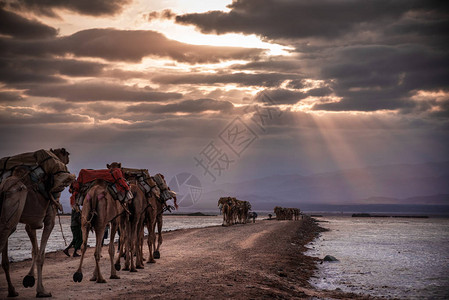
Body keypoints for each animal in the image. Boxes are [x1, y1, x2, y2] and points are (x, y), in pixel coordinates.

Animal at [0, 149, 74, 296]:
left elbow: (34, 250)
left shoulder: (31, 224)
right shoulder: (49, 220)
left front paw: (29, 278)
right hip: (12, 211)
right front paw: (41, 290)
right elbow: (41, 255)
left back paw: (12, 290)